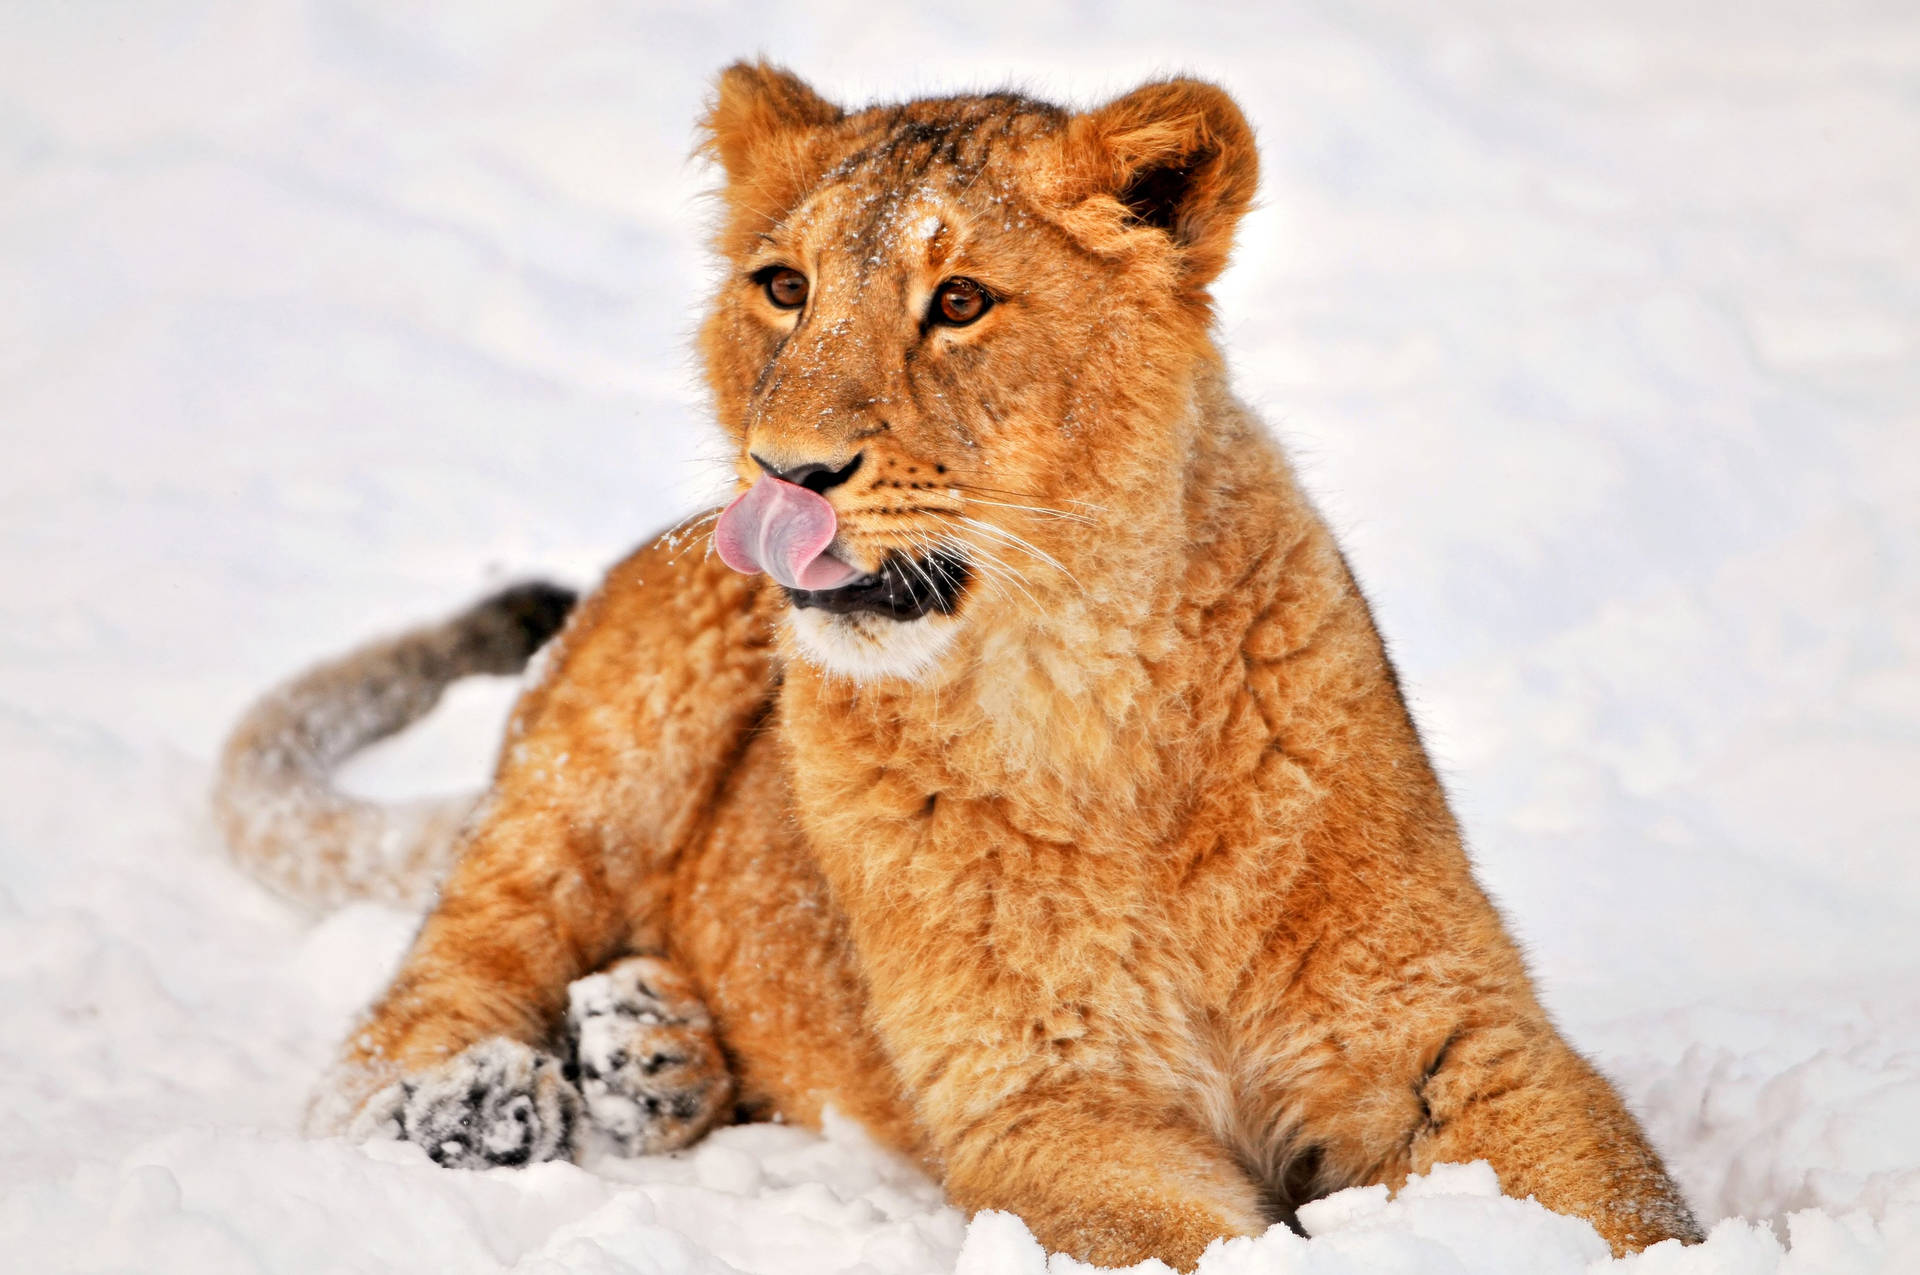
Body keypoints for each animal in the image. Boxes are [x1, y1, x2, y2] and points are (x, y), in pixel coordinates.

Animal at [215, 64, 1703, 1269]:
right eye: (785, 287)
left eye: (963, 301)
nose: (787, 473)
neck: (1086, 696)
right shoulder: (1050, 1106)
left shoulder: (1452, 1035)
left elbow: (1621, 1204)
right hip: (590, 766)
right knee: (406, 1007)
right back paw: (481, 1100)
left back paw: (651, 1053)